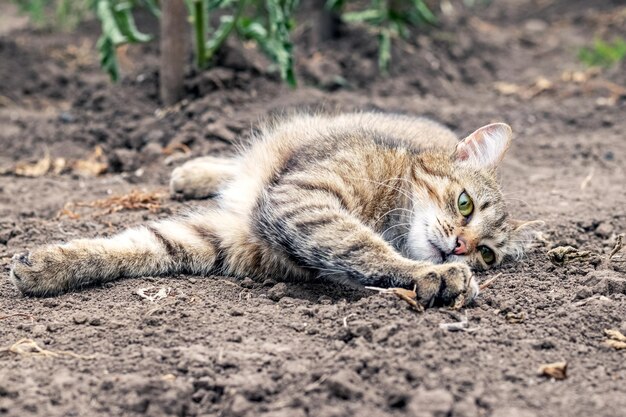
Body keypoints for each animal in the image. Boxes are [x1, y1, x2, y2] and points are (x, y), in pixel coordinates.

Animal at [8, 112, 536, 308]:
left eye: (488, 254)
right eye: (464, 203)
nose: (462, 247)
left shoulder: (224, 237)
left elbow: (138, 246)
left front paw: (52, 265)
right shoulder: (302, 200)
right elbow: (363, 247)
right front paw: (434, 273)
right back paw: (195, 171)